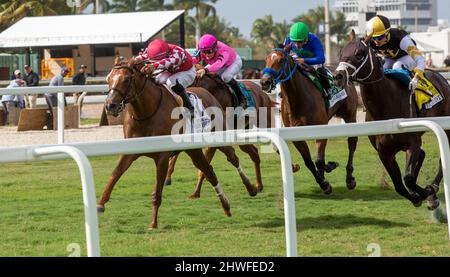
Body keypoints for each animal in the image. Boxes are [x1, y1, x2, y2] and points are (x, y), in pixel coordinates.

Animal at [96, 57, 258, 227]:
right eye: (108, 79)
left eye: (126, 79)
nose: (110, 106)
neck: (147, 113)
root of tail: (209, 95)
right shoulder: (130, 151)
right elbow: (115, 174)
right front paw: (100, 204)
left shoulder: (162, 156)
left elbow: (157, 189)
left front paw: (153, 223)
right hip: (194, 150)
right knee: (208, 171)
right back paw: (226, 206)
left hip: (219, 139)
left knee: (233, 158)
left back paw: (251, 188)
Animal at [260, 44, 358, 193]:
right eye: (266, 59)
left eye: (281, 60)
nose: (264, 82)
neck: (297, 99)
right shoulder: (296, 136)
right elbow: (309, 162)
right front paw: (324, 182)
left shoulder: (321, 128)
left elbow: (319, 161)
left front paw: (328, 174)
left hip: (350, 115)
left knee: (352, 143)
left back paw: (349, 178)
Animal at [334, 29, 450, 207]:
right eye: (341, 52)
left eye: (360, 53)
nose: (338, 76)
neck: (386, 106)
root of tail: (441, 77)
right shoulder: (384, 152)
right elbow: (399, 185)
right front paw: (416, 196)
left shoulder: (413, 143)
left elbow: (408, 178)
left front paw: (428, 193)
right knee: (422, 155)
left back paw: (433, 188)